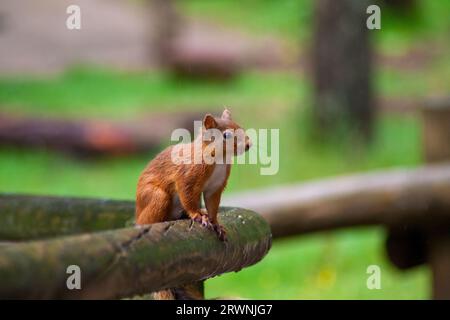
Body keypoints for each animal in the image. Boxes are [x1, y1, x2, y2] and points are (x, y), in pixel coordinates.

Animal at [135, 109, 251, 241]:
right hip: (155, 197)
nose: (248, 144)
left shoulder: (215, 186)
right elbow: (187, 194)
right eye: (227, 135)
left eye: (241, 127)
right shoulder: (188, 174)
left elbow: (212, 205)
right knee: (147, 220)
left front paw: (216, 223)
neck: (220, 159)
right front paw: (198, 215)